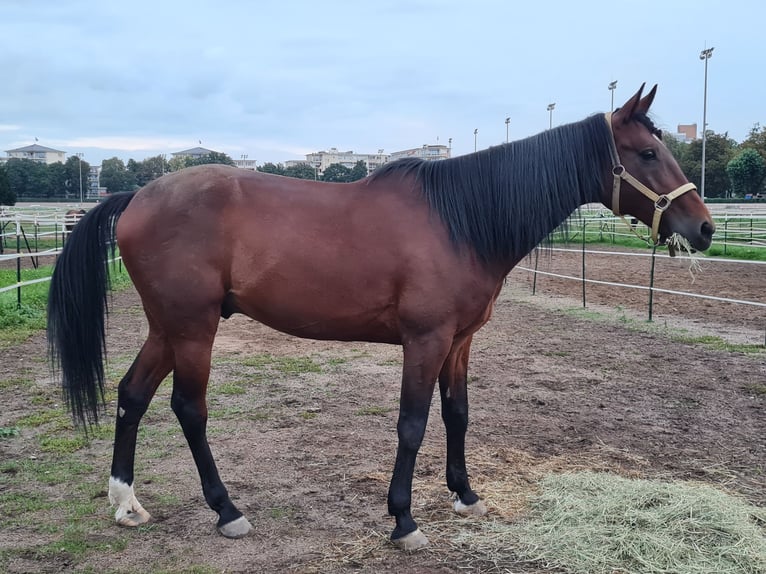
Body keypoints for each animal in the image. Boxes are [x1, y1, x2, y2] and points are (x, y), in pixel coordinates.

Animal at [48, 84, 716, 548]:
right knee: (188, 409)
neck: (460, 219)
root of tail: (137, 195)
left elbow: (457, 414)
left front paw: (466, 494)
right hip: (193, 329)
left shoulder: (458, 342)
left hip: (169, 327)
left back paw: (126, 503)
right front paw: (403, 520)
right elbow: (412, 425)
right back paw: (227, 511)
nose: (704, 228)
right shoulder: (424, 341)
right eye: (647, 152)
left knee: (131, 395)